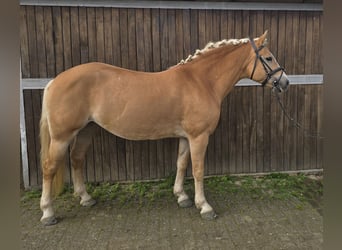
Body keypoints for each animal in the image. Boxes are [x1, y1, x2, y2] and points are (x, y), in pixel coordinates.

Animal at [38, 30, 288, 226]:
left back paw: (86, 198)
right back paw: (48, 212)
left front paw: (182, 197)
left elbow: (181, 164)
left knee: (77, 159)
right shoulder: (199, 137)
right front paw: (204, 206)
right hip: (61, 137)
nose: (285, 82)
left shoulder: (186, 137)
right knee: (49, 167)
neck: (201, 81)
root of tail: (54, 81)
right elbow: (198, 170)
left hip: (86, 130)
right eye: (269, 57)